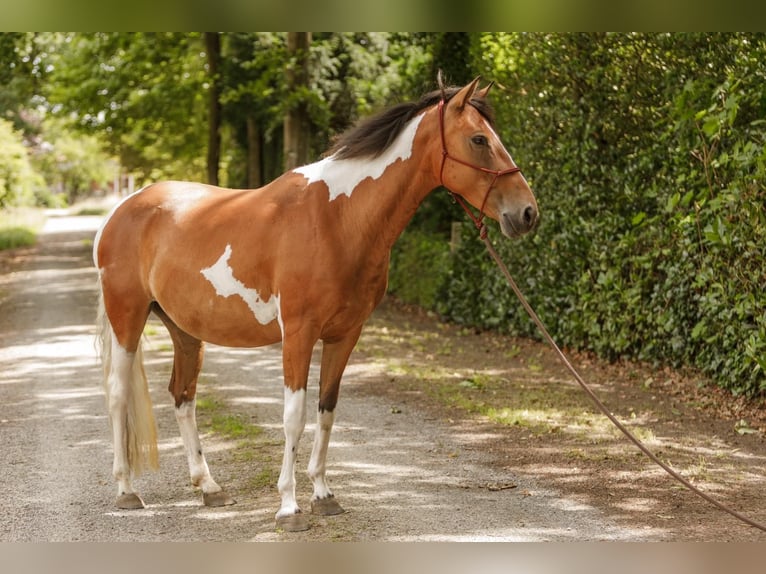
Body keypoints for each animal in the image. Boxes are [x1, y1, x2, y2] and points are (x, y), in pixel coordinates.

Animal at [94, 74, 540, 532]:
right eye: (479, 139)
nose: (527, 213)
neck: (337, 219)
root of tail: (121, 210)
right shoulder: (299, 334)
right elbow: (294, 417)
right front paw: (288, 507)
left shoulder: (344, 336)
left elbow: (327, 411)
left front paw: (324, 496)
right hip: (127, 318)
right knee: (118, 395)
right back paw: (127, 490)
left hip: (185, 330)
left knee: (183, 396)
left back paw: (210, 488)